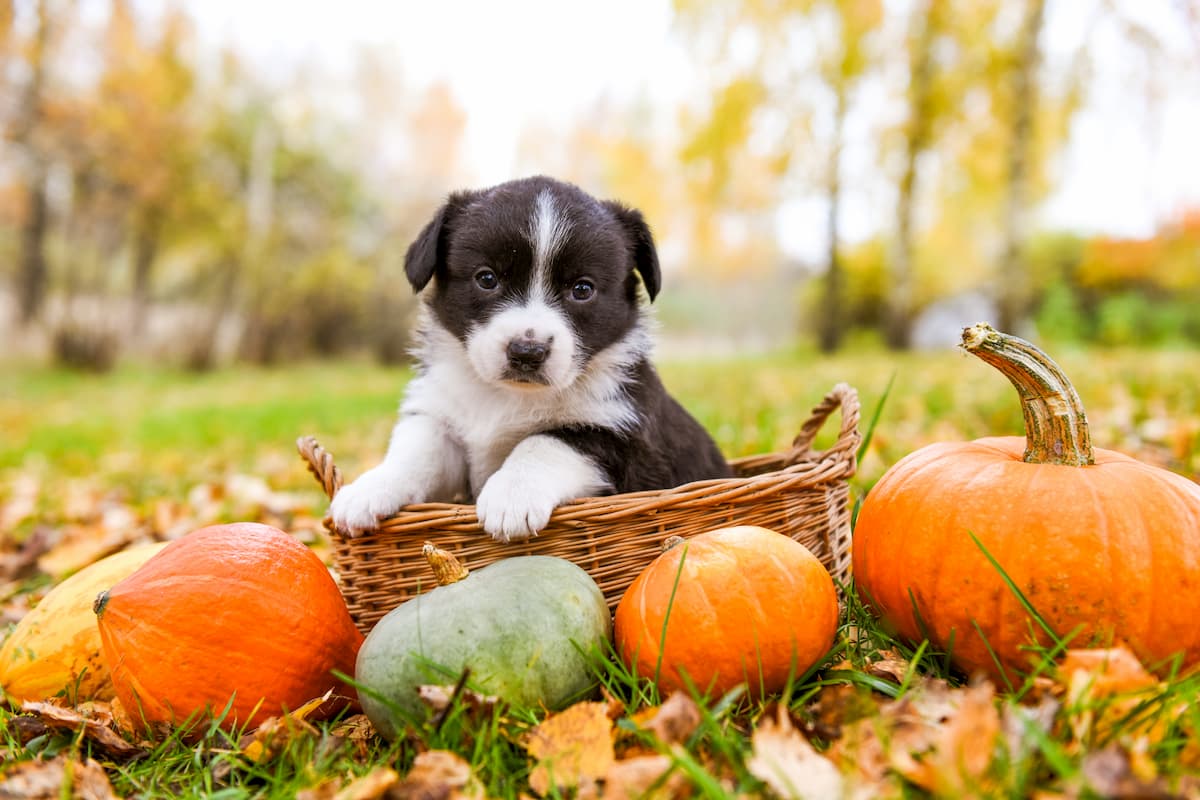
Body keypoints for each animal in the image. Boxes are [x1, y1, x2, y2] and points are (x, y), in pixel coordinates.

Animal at [324, 177, 729, 542]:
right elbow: (416, 451)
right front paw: (368, 489)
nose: (527, 351)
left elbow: (544, 442)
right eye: (487, 278)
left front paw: (511, 496)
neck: (507, 397)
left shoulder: (621, 434)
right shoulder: (441, 418)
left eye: (582, 288)